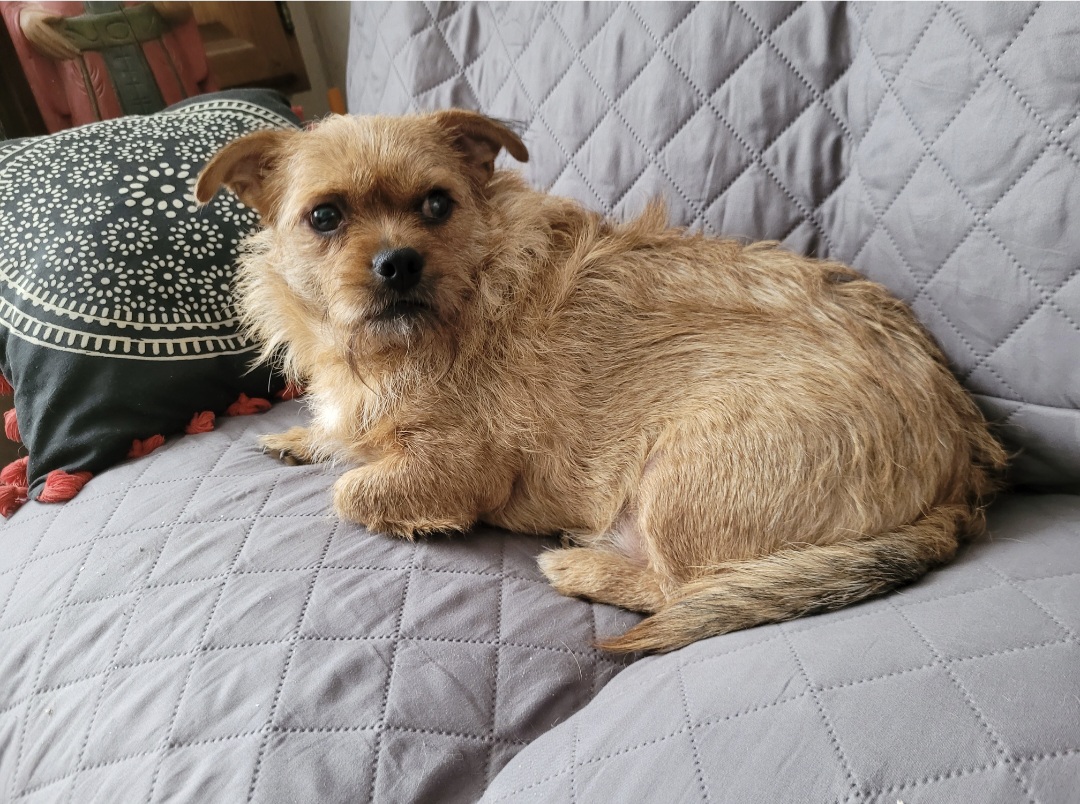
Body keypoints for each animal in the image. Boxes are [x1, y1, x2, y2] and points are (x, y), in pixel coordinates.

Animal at [195, 110, 1006, 653]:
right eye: (324, 217)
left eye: (436, 203)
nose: (398, 263)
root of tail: (963, 473)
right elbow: (340, 435)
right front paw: (302, 436)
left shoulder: (459, 468)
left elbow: (353, 490)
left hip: (680, 468)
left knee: (679, 589)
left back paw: (579, 564)